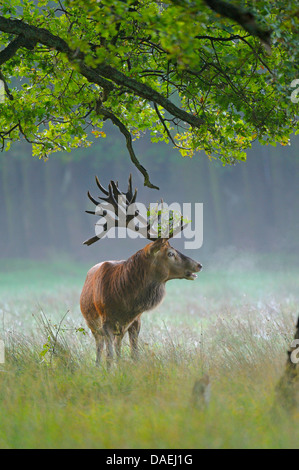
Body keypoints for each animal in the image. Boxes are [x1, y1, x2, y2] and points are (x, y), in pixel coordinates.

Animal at [79, 174, 203, 366]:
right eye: (170, 253)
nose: (198, 264)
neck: (124, 302)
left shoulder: (136, 321)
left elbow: (134, 354)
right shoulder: (105, 322)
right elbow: (109, 356)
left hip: (119, 329)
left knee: (118, 347)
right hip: (92, 324)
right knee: (100, 349)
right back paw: (98, 365)